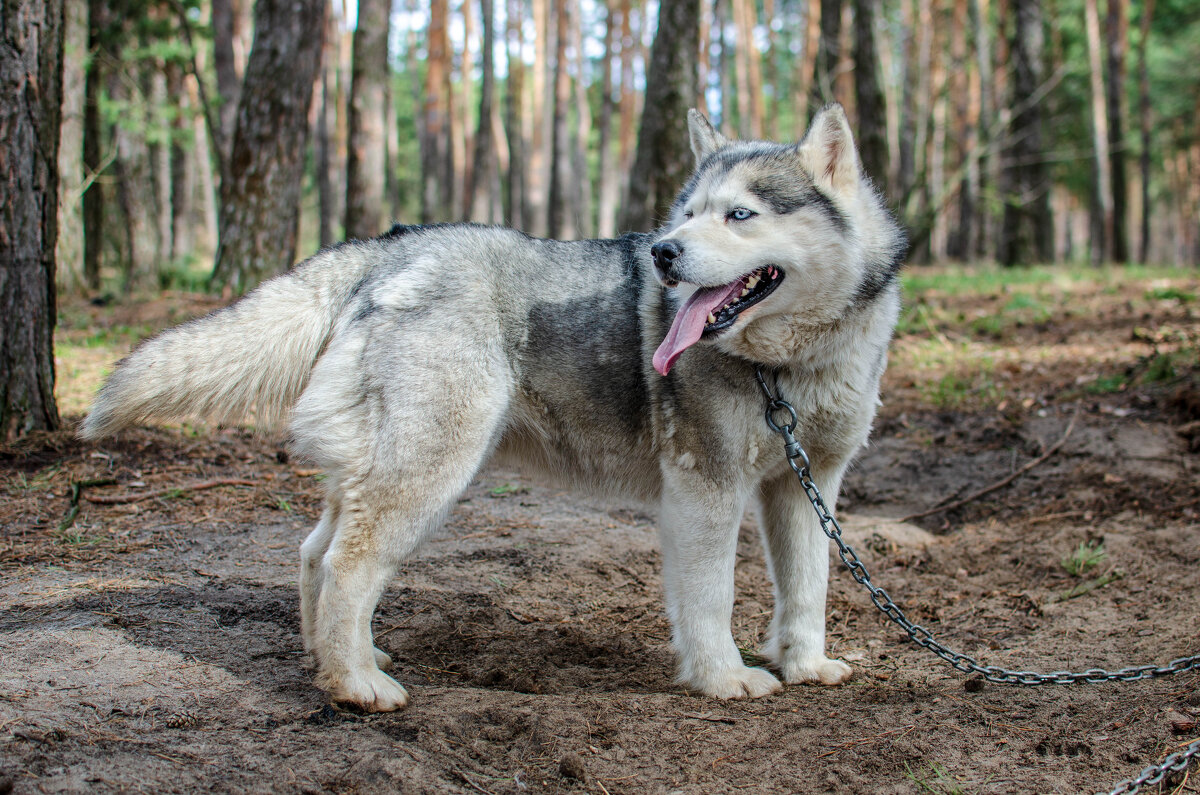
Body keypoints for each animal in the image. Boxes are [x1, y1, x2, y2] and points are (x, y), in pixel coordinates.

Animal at [82, 104, 902, 710]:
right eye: (688, 213)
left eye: (740, 215)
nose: (663, 253)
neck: (787, 366)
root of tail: (390, 245)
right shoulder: (708, 490)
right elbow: (712, 599)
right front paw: (723, 677)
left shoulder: (806, 488)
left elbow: (808, 589)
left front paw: (805, 664)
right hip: (427, 474)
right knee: (347, 565)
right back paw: (355, 685)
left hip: (379, 470)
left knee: (315, 553)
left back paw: (335, 658)